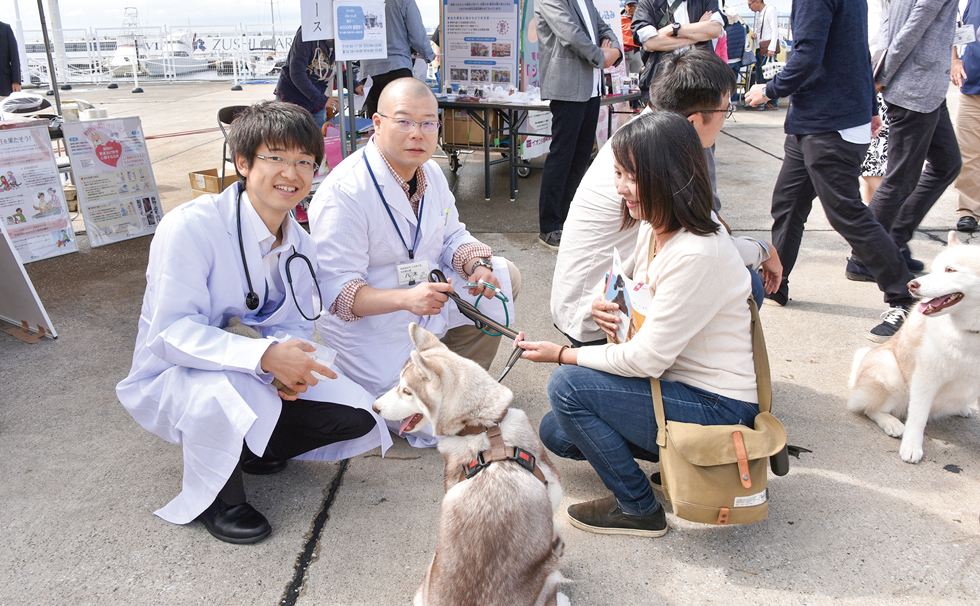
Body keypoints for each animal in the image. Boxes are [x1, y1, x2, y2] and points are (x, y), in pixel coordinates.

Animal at [848, 234, 980, 466]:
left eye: (950, 270)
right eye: (934, 269)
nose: (912, 284)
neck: (971, 332)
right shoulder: (926, 377)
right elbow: (917, 418)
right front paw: (911, 447)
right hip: (890, 373)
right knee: (869, 408)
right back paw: (891, 423)